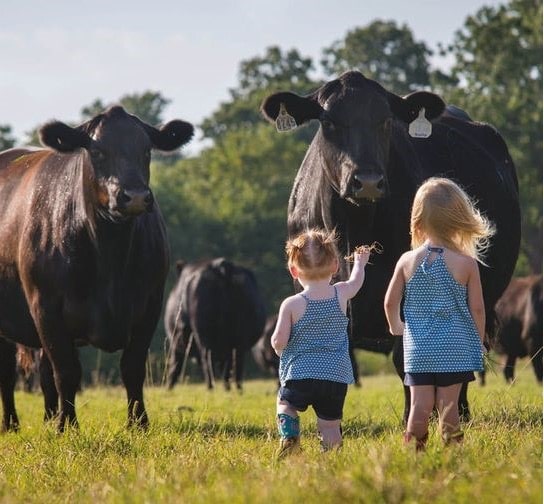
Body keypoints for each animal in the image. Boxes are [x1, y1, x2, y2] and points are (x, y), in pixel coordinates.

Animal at [0, 105, 193, 430]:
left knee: (43, 372)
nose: (135, 196)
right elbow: (67, 371)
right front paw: (67, 426)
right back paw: (12, 424)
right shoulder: (45, 305)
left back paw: (47, 419)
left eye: (146, 150)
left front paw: (138, 423)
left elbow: (132, 367)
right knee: (10, 374)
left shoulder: (150, 303)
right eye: (98, 151)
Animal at [166, 258, 268, 392]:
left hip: (204, 333)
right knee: (235, 364)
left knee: (207, 361)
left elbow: (175, 366)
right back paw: (236, 389)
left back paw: (210, 388)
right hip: (239, 335)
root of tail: (220, 265)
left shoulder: (176, 341)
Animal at [262, 71, 520, 424]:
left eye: (385, 120)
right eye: (328, 121)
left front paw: (414, 417)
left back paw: (457, 412)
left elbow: (405, 356)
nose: (367, 181)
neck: (355, 227)